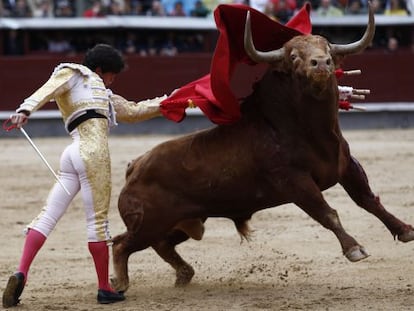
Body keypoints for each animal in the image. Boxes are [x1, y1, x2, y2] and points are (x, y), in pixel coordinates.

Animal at [110, 3, 414, 294]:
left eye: (328, 49)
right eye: (294, 57)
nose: (321, 63)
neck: (310, 131)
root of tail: (134, 166)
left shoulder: (347, 165)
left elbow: (368, 200)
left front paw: (405, 230)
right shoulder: (295, 182)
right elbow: (327, 213)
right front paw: (354, 248)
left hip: (187, 221)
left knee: (159, 244)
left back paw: (184, 274)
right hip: (150, 222)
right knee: (122, 244)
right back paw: (120, 284)